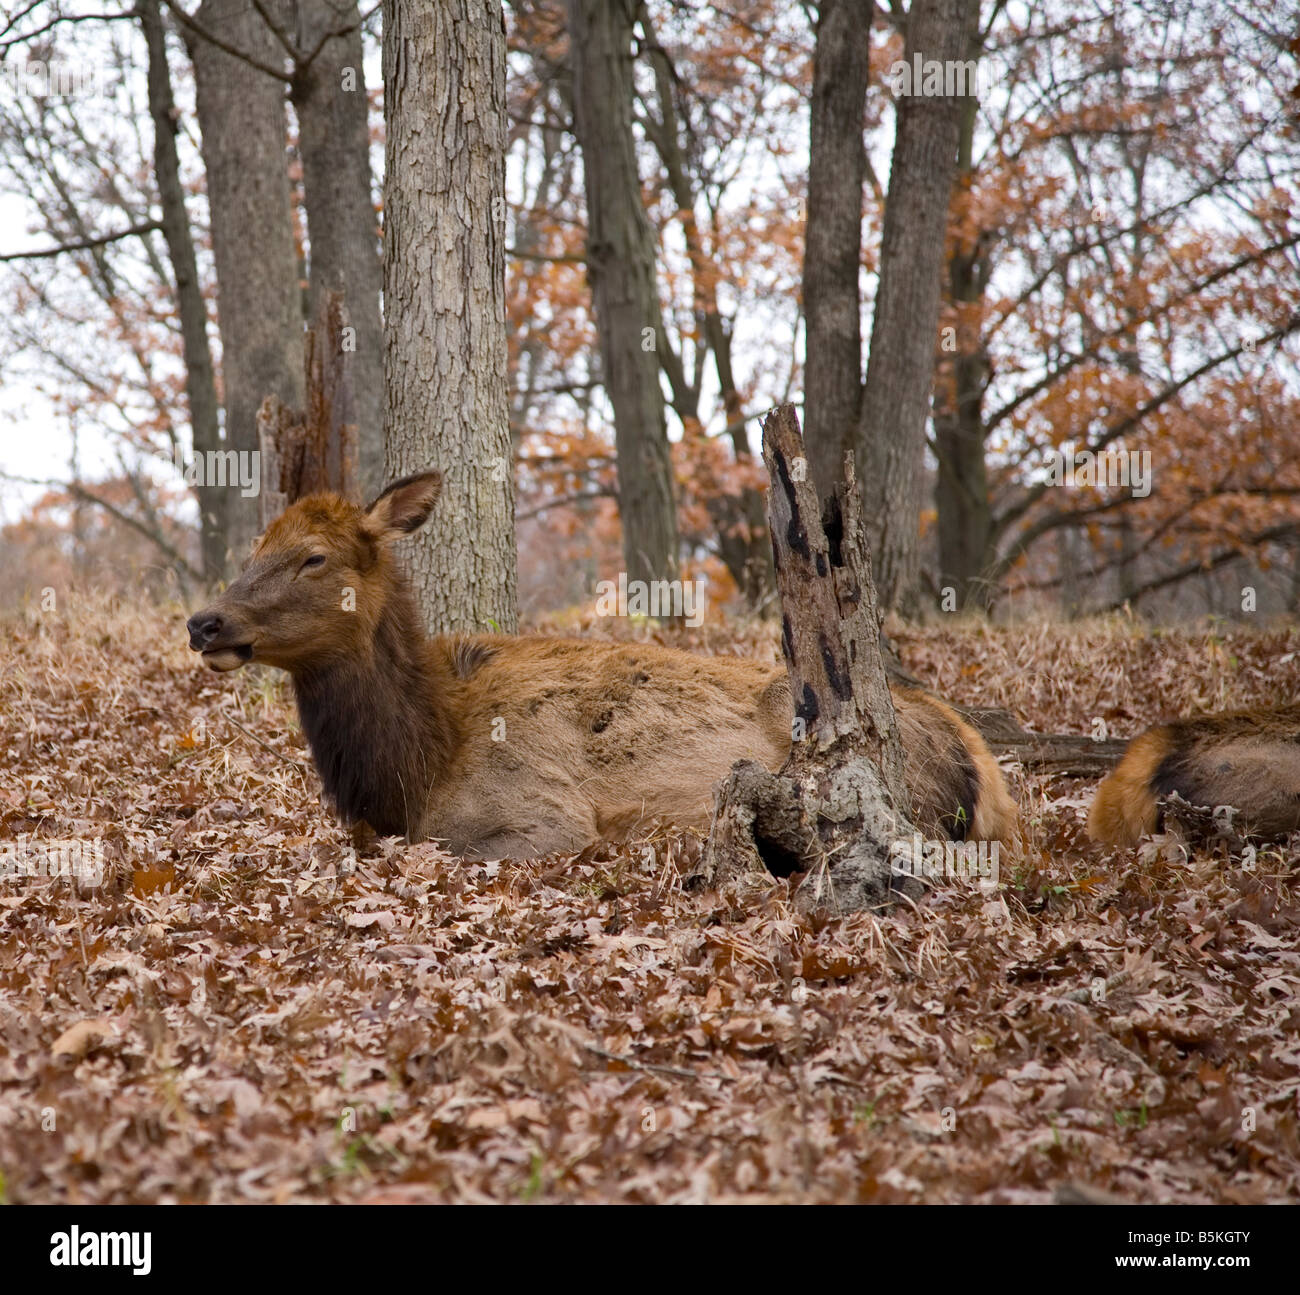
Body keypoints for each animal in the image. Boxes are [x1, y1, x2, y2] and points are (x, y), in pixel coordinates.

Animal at [185, 475, 1013, 858]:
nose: (204, 620)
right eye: (257, 547)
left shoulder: (545, 814)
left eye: (312, 557)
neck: (415, 764)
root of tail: (984, 762)